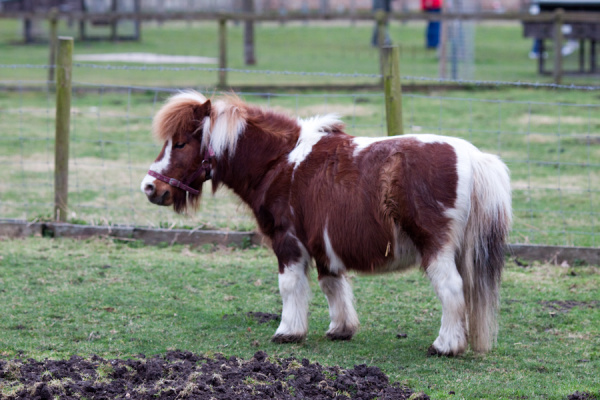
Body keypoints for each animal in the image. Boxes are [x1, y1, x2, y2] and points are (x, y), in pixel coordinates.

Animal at [139, 91, 510, 356]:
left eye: (181, 143)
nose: (150, 187)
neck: (279, 162)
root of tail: (473, 157)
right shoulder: (324, 245)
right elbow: (333, 285)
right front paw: (341, 330)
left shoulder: (288, 241)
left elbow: (290, 286)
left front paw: (288, 332)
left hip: (437, 249)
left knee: (451, 289)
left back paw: (445, 346)